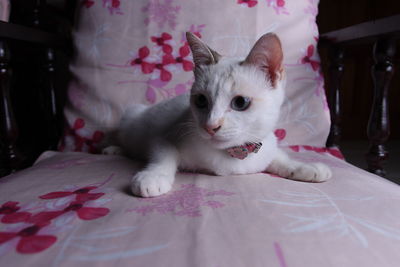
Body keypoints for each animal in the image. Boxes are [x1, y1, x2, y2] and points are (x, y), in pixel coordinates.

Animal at [104, 32, 332, 198]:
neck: (236, 154)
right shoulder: (164, 137)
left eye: (240, 103)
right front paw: (153, 177)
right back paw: (113, 149)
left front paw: (305, 167)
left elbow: (281, 158)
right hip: (130, 116)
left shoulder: (266, 145)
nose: (210, 126)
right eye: (201, 101)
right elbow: (164, 156)